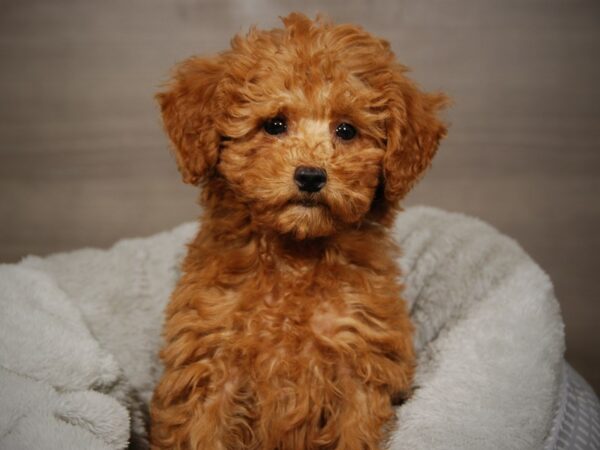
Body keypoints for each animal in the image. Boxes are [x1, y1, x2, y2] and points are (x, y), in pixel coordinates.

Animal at [152, 13, 448, 450]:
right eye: (274, 124)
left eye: (346, 130)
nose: (310, 175)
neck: (294, 256)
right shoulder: (211, 366)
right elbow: (203, 431)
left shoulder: (361, 363)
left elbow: (356, 431)